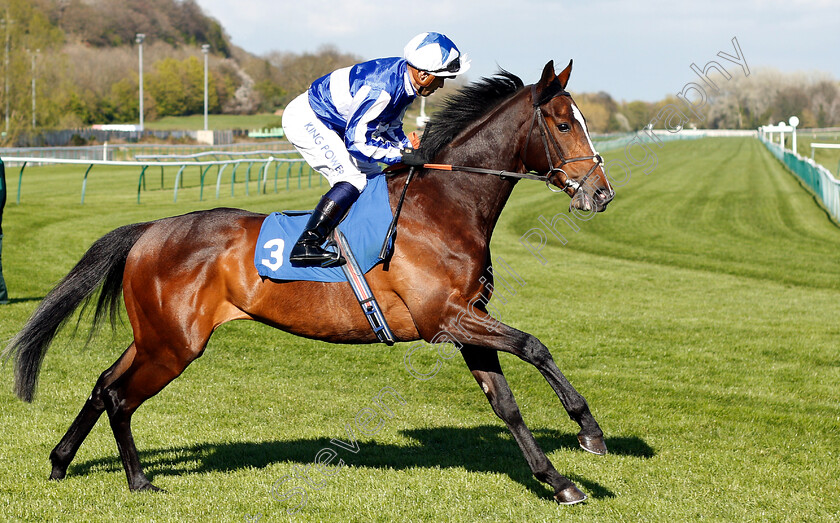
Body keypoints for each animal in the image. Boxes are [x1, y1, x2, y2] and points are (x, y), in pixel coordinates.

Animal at [3, 61, 612, 508]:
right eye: (564, 125)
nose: (600, 193)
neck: (444, 206)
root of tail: (151, 229)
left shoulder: (463, 323)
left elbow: (505, 404)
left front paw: (558, 481)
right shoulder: (446, 317)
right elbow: (535, 345)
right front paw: (588, 430)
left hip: (155, 336)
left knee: (103, 385)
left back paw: (60, 461)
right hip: (174, 345)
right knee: (121, 398)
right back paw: (137, 480)